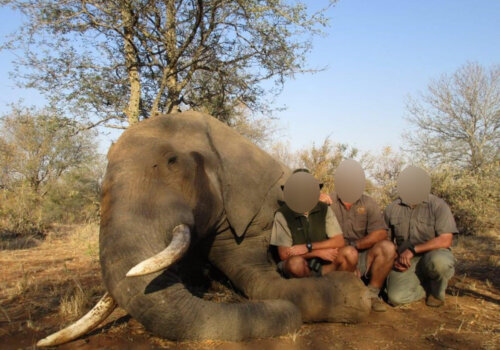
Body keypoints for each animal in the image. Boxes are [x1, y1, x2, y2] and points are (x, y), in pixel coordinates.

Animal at [37, 110, 370, 346]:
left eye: (172, 161)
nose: (289, 315)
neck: (218, 137)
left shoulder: (251, 215)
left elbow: (258, 280)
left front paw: (357, 298)